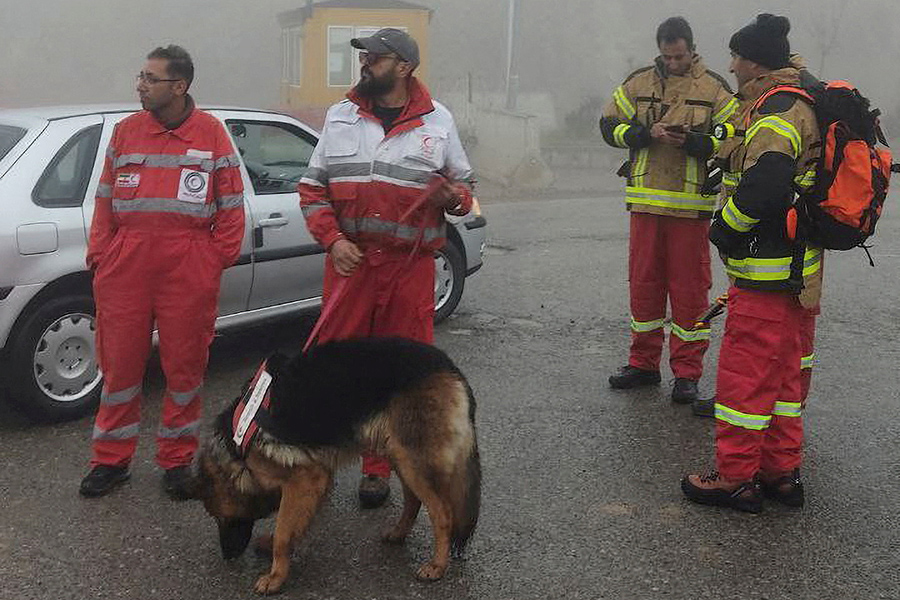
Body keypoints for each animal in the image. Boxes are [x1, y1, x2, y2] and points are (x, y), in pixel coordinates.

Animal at [194, 338, 482, 596]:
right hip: (399, 455)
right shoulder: (314, 479)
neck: (238, 439)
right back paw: (399, 533)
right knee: (414, 500)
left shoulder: (305, 478)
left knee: (443, 512)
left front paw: (276, 576)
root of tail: (449, 367)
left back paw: (437, 565)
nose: (228, 557)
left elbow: (284, 531)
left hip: (412, 460)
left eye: (222, 518)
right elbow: (294, 522)